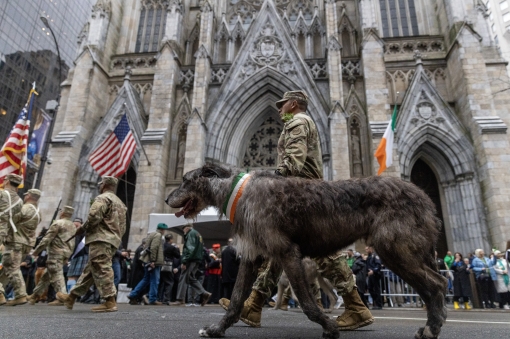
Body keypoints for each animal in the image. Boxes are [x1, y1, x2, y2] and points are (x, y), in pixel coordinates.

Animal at [166, 163, 446, 338]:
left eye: (185, 180)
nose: (168, 199)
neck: (237, 191)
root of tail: (424, 196)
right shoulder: (253, 255)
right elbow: (236, 299)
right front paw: (217, 329)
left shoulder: (287, 252)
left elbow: (306, 301)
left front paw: (329, 327)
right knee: (436, 284)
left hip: (395, 250)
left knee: (437, 285)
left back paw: (431, 329)